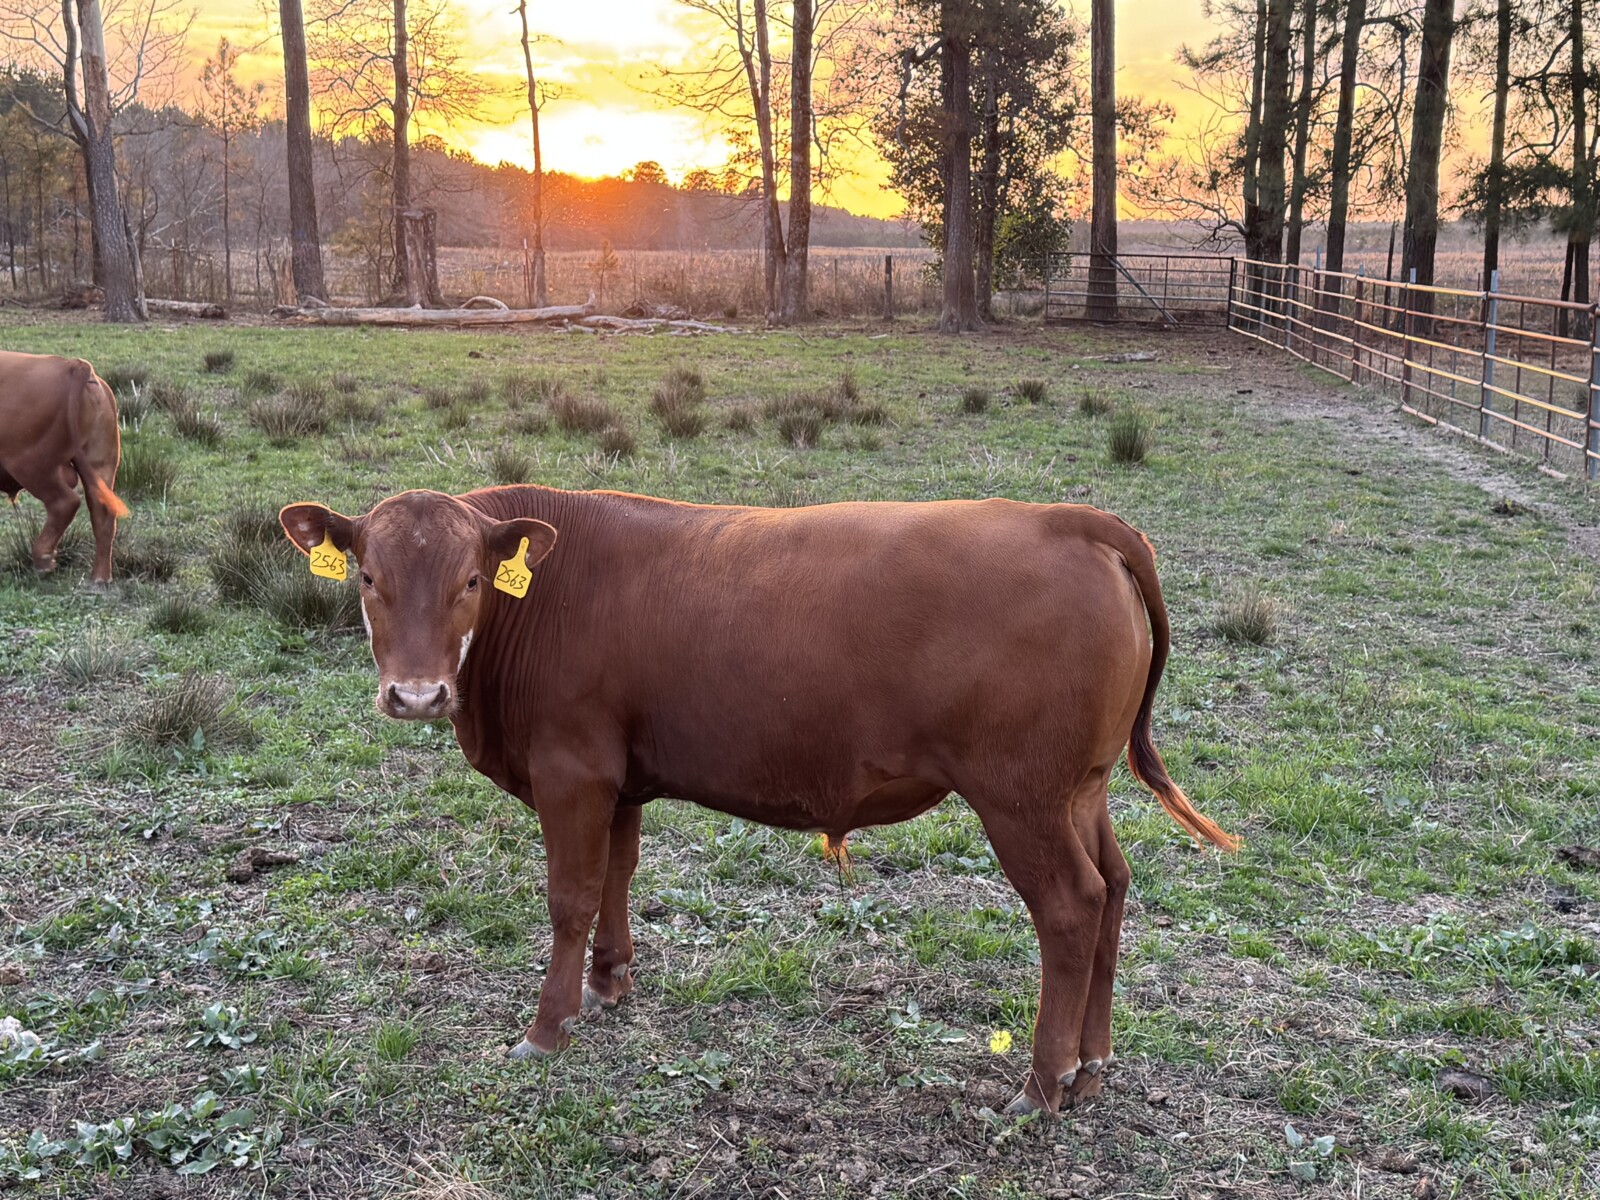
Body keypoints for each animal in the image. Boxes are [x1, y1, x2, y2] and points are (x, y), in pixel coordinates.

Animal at [0, 350, 128, 585]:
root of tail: (73, 366)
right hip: (101, 466)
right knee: (102, 516)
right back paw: (100, 578)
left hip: (30, 466)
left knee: (65, 503)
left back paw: (43, 562)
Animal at [279, 486, 1237, 1115]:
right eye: (367, 579)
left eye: (472, 582)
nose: (416, 695)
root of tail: (1070, 518)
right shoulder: (621, 776)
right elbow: (619, 876)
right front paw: (611, 983)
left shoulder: (571, 769)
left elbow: (570, 897)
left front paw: (548, 1027)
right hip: (1081, 789)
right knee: (1114, 888)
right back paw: (1093, 1065)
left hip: (1021, 796)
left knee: (1072, 908)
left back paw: (1042, 1085)